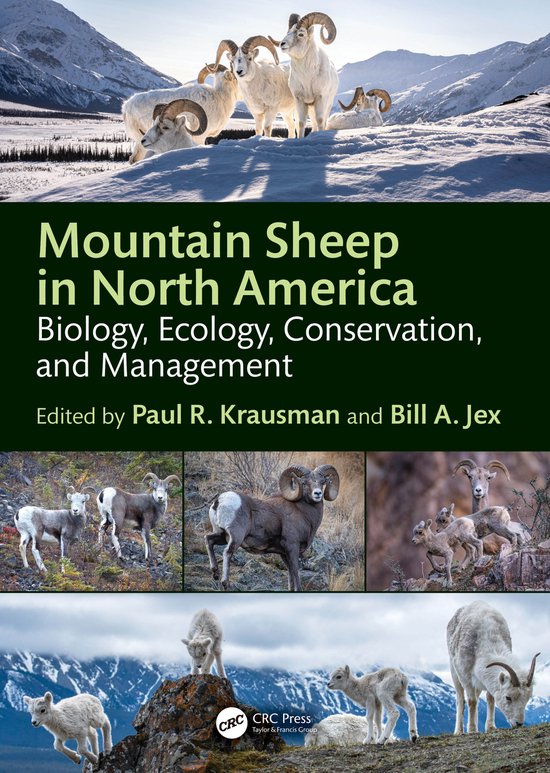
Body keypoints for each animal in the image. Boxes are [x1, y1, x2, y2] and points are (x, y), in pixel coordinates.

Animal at [205, 463, 339, 591]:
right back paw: (225, 582)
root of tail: (219, 501)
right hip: (236, 537)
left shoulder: (284, 554)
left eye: (322, 482)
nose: (317, 493)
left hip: (222, 535)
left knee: (208, 539)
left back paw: (215, 573)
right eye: (304, 483)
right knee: (227, 552)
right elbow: (296, 574)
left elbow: (290, 577)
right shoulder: (292, 548)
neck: (303, 512)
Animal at [447, 600, 539, 733]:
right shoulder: (465, 677)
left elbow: (490, 699)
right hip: (454, 673)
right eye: (508, 697)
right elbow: (471, 701)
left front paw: (490, 727)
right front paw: (472, 730)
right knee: (460, 700)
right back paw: (459, 731)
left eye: (527, 698)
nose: (519, 723)